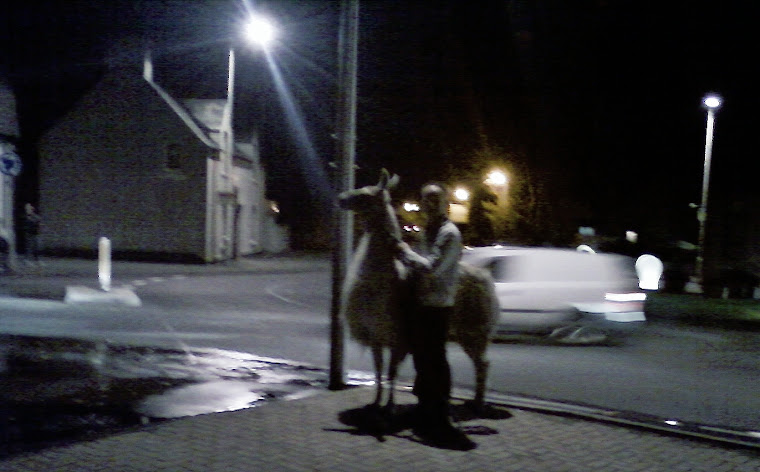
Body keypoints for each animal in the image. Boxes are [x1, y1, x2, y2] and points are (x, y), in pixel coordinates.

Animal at [338, 170, 498, 410]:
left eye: (365, 194)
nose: (340, 198)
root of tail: (486, 277)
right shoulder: (376, 334)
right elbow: (378, 372)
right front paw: (375, 402)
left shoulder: (398, 336)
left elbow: (392, 373)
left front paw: (390, 406)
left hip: (473, 328)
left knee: (483, 363)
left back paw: (477, 403)